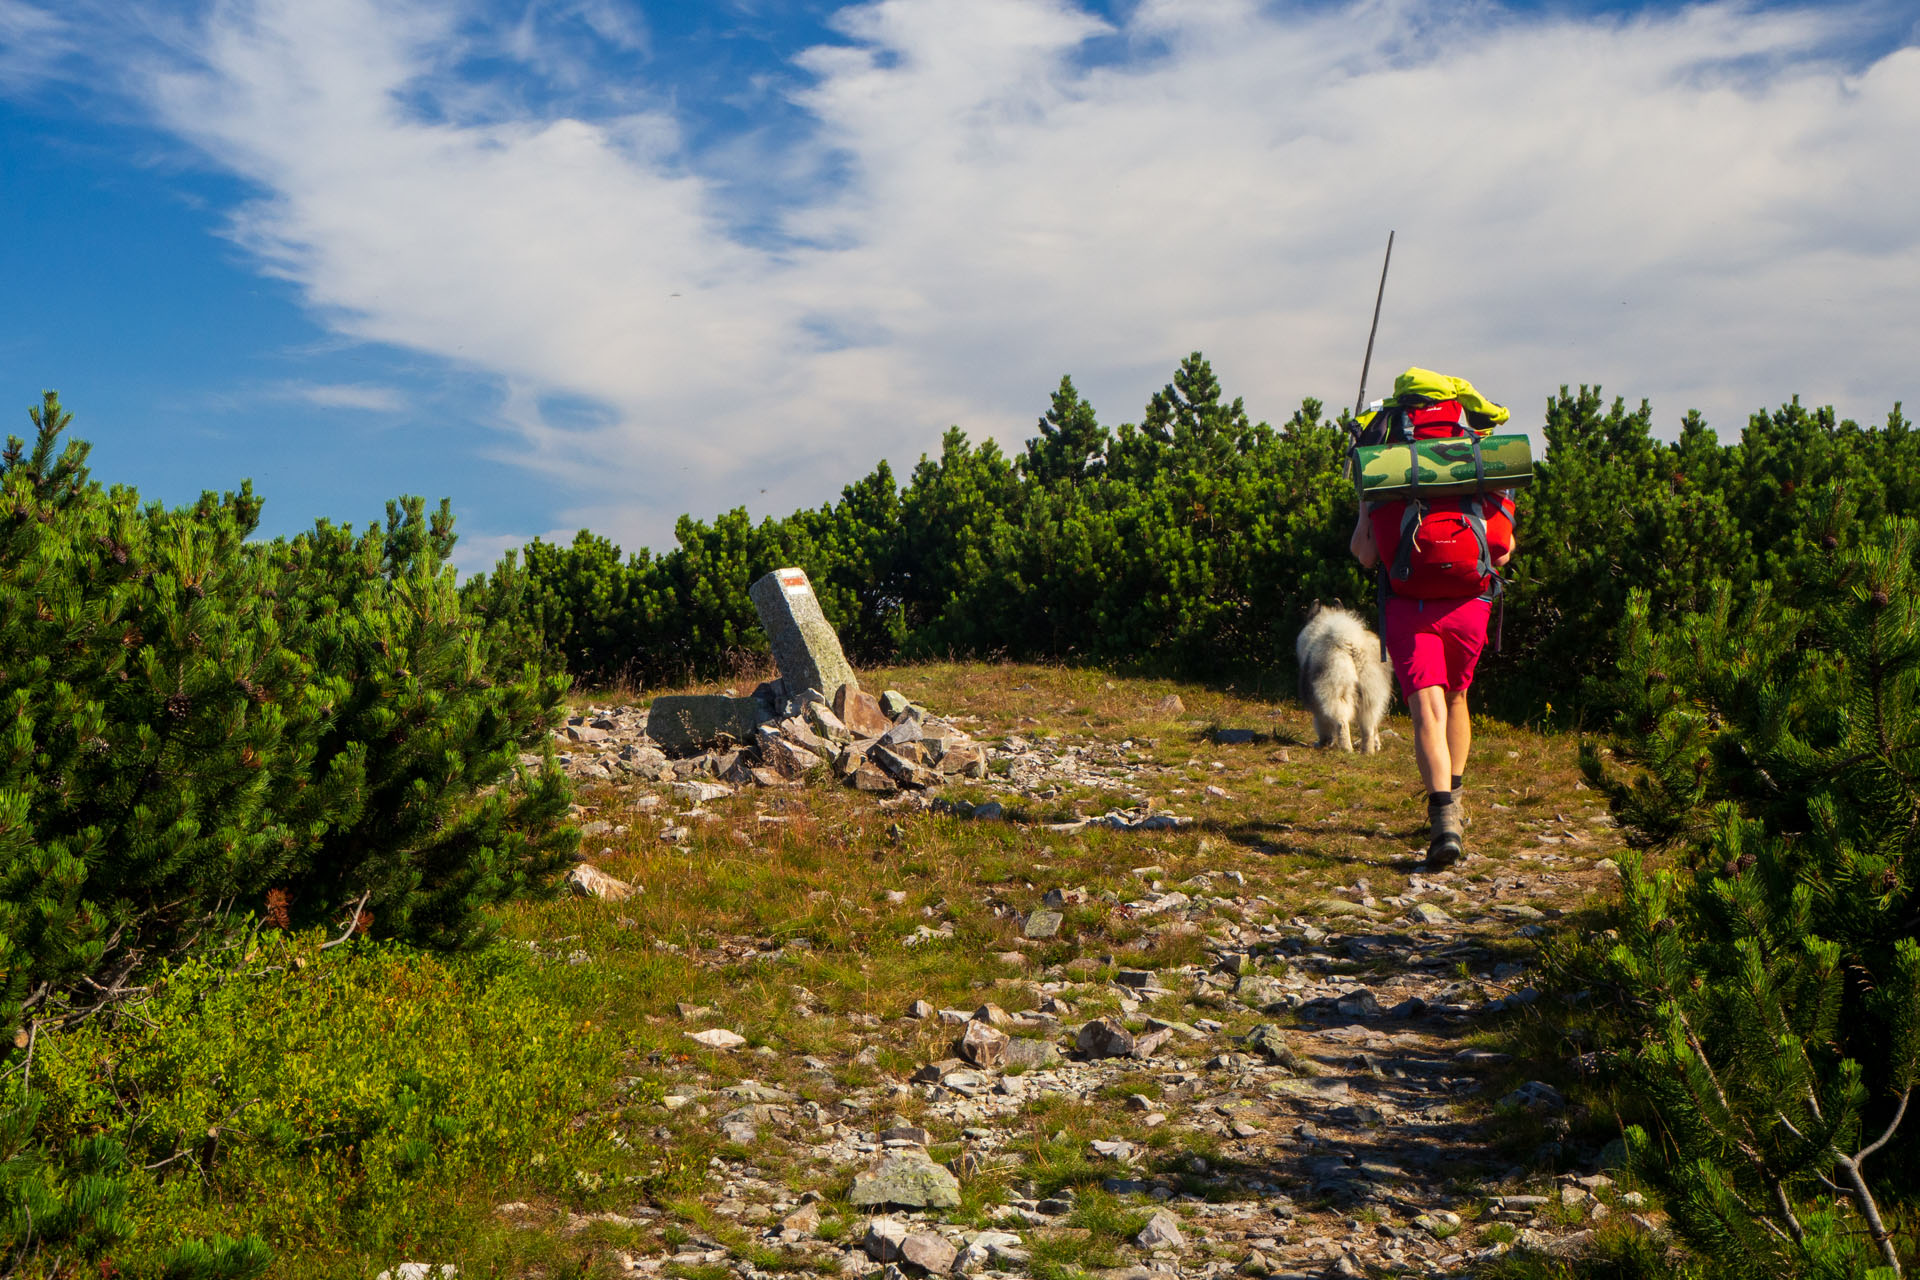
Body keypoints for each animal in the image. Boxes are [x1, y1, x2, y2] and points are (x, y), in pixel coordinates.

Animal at [1290, 606, 1397, 756]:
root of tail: (1352, 644)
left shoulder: (1318, 705)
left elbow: (1322, 723)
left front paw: (1323, 743)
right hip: (1372, 696)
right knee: (1369, 726)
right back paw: (1367, 751)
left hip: (1337, 692)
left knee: (1341, 722)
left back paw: (1346, 749)